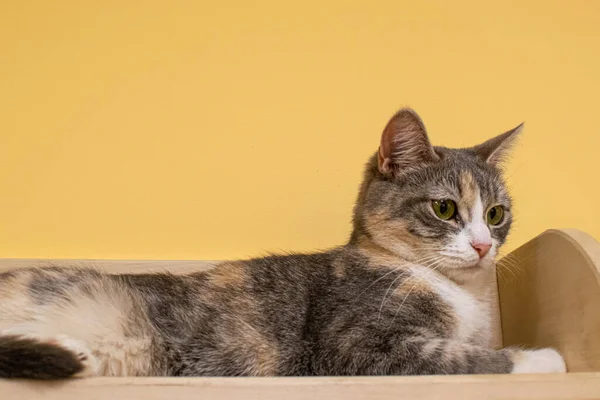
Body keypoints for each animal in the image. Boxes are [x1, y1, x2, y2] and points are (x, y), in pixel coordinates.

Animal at [0, 108, 564, 378]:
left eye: (495, 215)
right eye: (445, 209)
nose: (483, 246)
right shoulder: (351, 347)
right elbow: (464, 357)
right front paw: (542, 358)